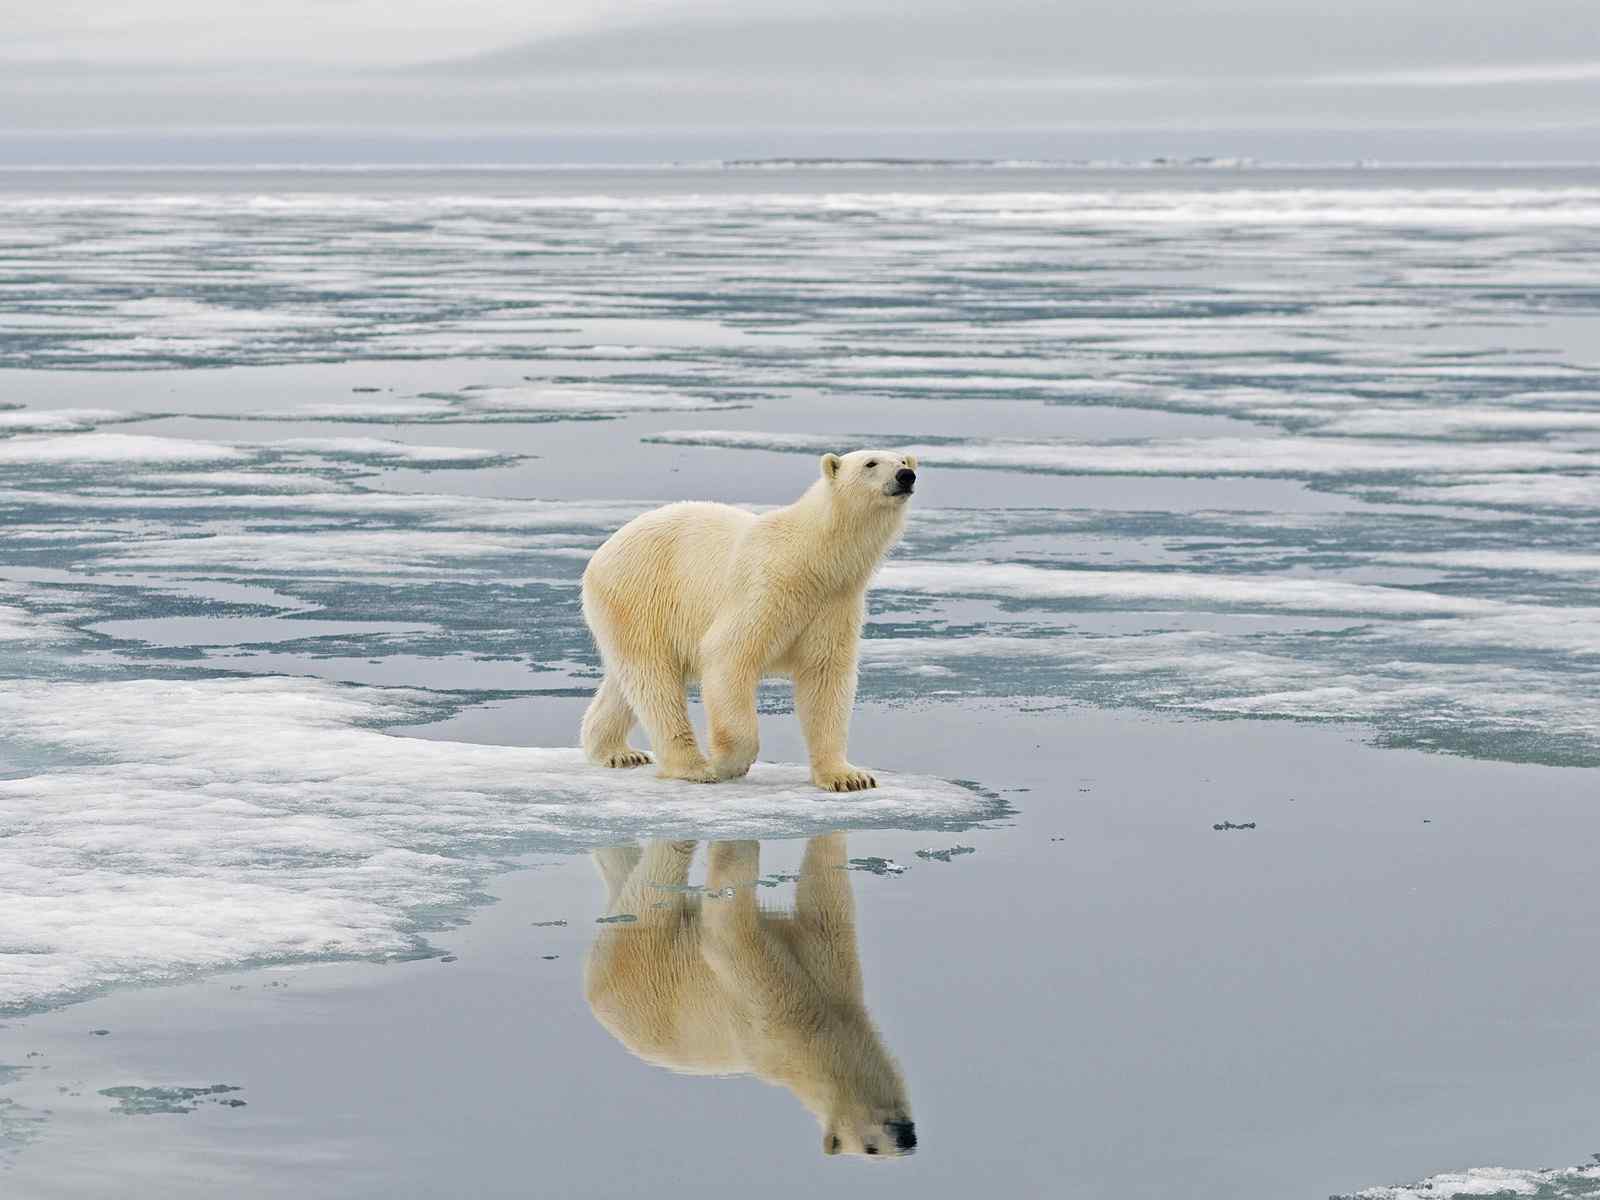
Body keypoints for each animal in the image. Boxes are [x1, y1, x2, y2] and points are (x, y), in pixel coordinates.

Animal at [582, 448, 921, 790]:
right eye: (870, 463)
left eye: (903, 461)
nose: (906, 476)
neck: (812, 559)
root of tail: (601, 553)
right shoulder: (766, 588)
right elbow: (728, 655)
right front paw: (727, 764)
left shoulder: (835, 604)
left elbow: (825, 677)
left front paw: (848, 777)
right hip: (640, 594)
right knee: (654, 679)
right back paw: (693, 767)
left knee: (626, 683)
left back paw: (618, 752)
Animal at [585, 832, 915, 1158]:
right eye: (870, 1148)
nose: (905, 1137)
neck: (817, 1036)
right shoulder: (771, 1015)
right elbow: (727, 932)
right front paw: (737, 847)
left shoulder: (828, 971)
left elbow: (822, 896)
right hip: (641, 959)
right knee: (659, 879)